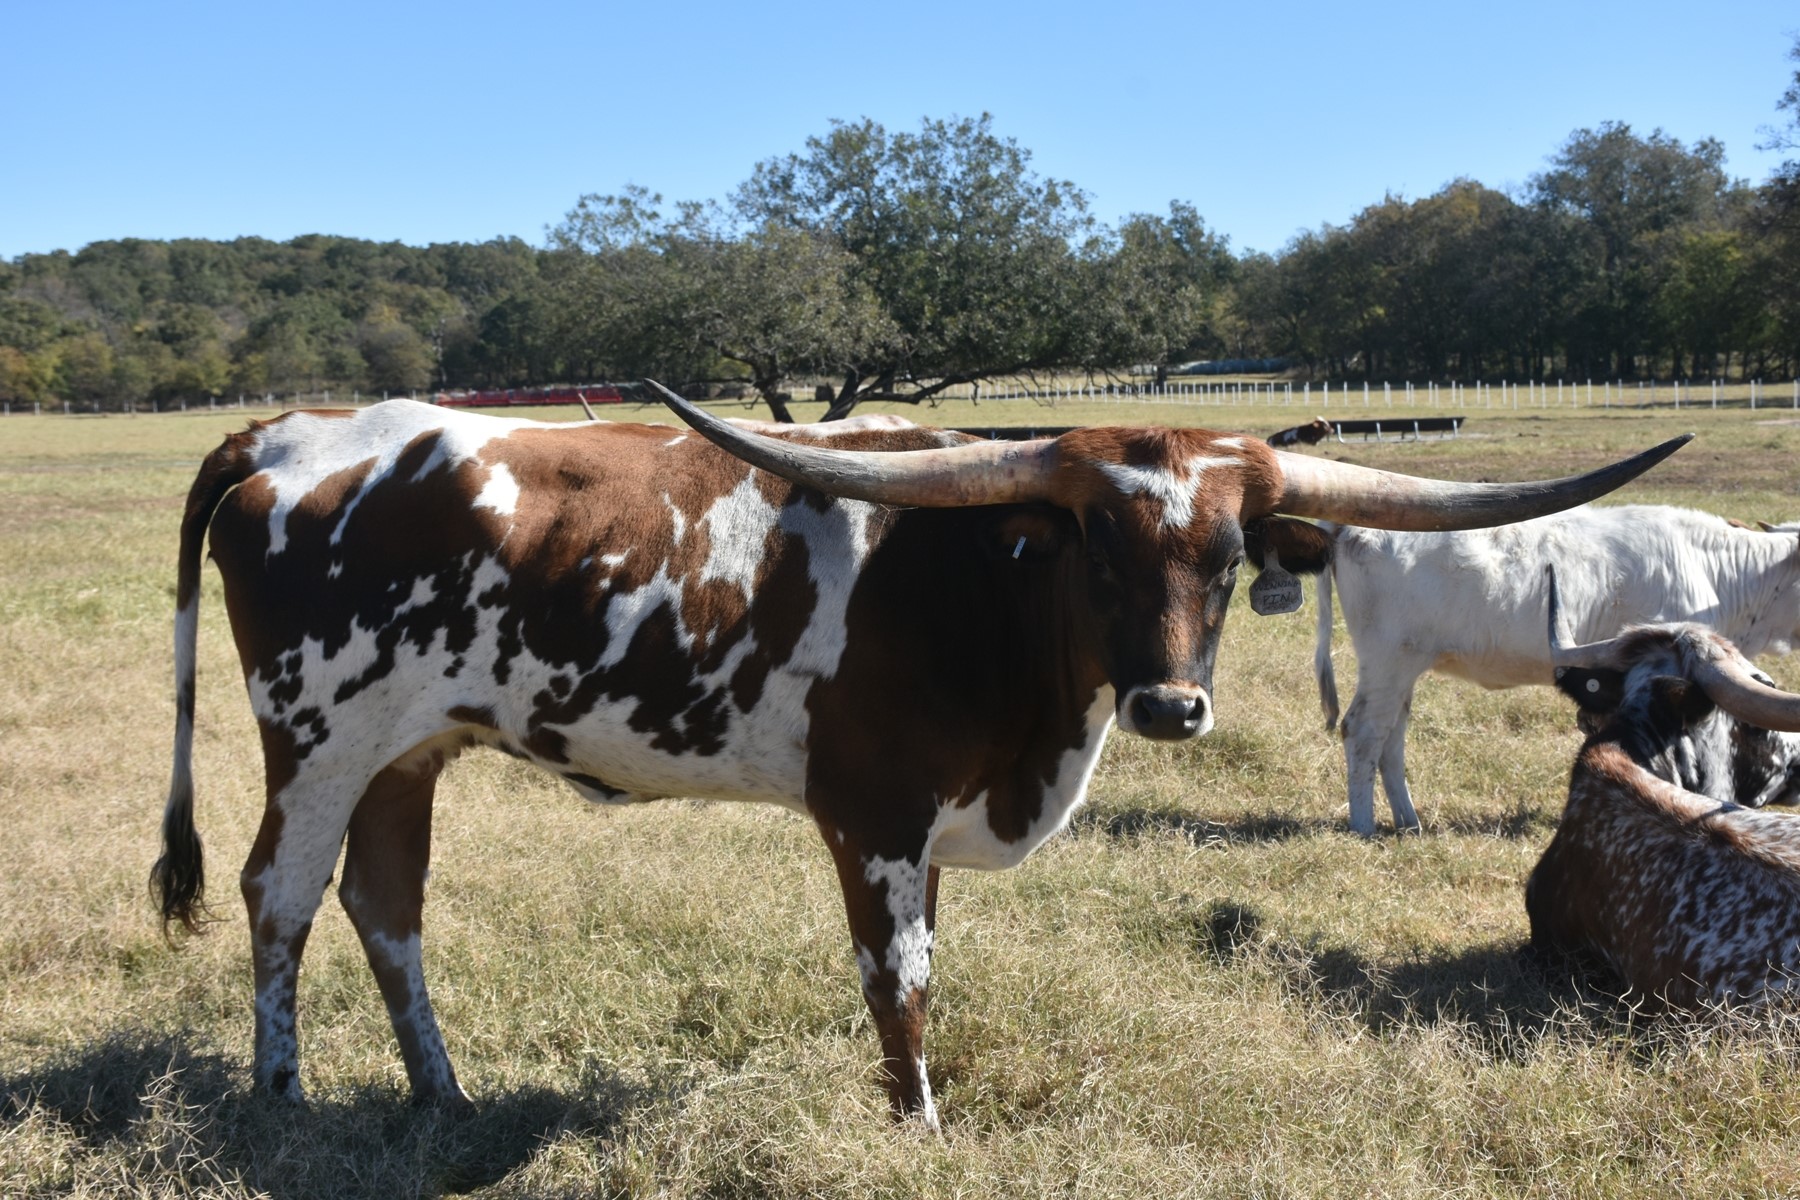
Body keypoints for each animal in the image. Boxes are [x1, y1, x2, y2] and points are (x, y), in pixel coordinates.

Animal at [152, 386, 1686, 1128]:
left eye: (1228, 554)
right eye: (1095, 547)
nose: (1172, 710)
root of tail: (291, 433)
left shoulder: (935, 823)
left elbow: (929, 972)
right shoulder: (872, 813)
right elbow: (901, 982)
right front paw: (923, 1125)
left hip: (407, 749)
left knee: (384, 906)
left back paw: (443, 1093)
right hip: (316, 736)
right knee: (279, 898)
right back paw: (284, 1101)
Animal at [1314, 505, 1800, 836]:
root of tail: (1351, 526)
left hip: (1403, 670)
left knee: (1391, 738)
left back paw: (1409, 823)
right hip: (1388, 660)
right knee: (1363, 732)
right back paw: (1363, 827)